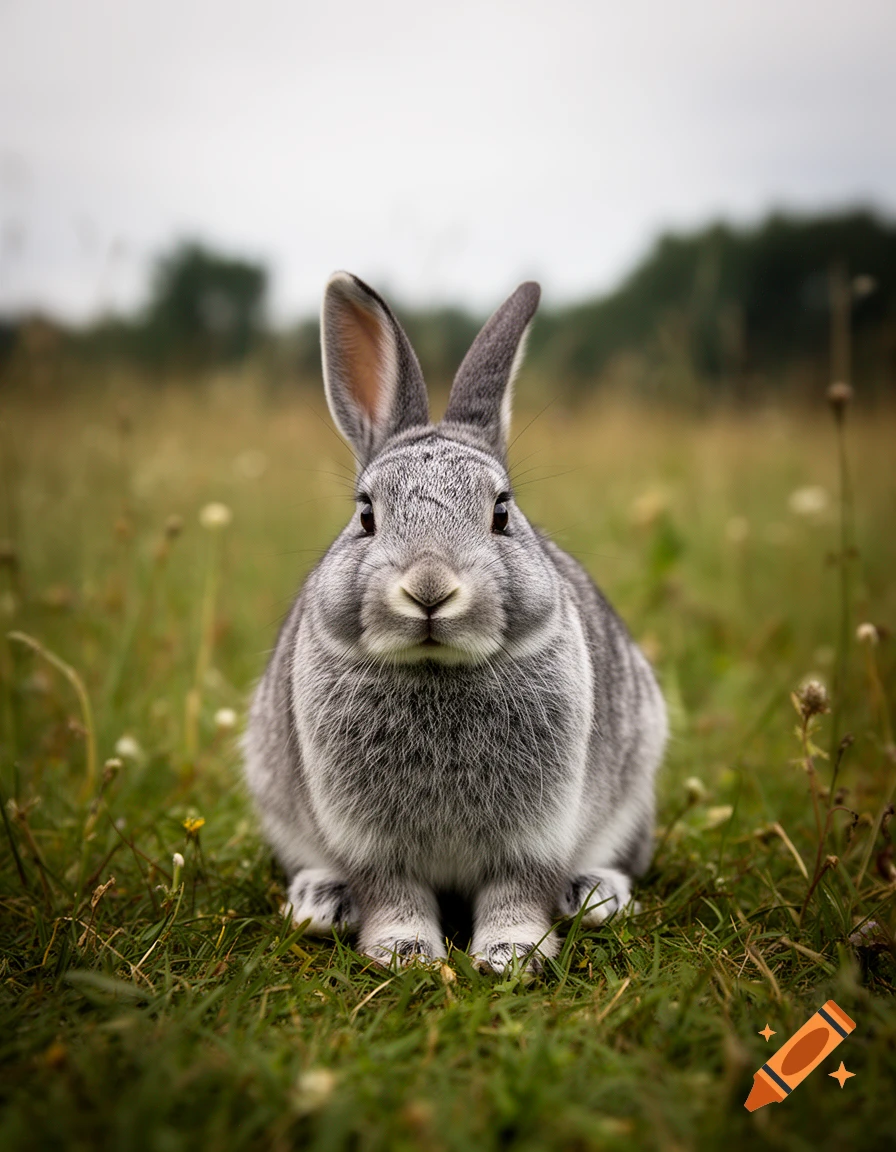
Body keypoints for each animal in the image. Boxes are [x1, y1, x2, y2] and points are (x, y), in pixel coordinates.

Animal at [244, 272, 667, 973]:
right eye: (366, 515)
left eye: (501, 512)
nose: (429, 589)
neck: (435, 666)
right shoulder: (370, 841)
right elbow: (394, 894)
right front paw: (406, 953)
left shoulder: (534, 833)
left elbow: (516, 892)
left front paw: (511, 957)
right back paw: (320, 902)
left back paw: (595, 894)